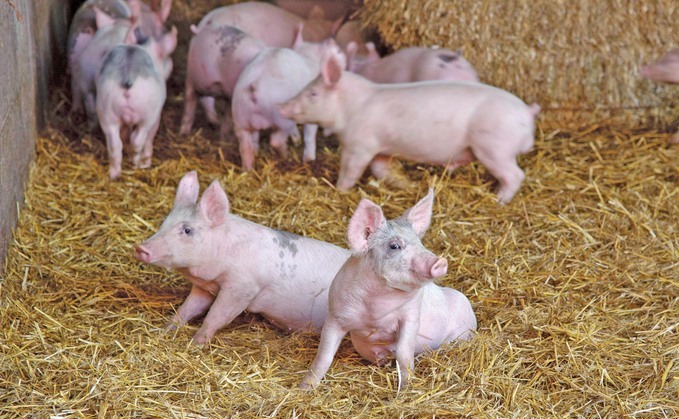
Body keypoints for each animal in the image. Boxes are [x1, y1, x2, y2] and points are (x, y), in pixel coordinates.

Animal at [95, 21, 178, 179]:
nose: (171, 63)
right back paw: (137, 164)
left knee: (115, 144)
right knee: (138, 140)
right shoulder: (156, 114)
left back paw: (115, 174)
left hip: (106, 109)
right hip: (148, 113)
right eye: (167, 59)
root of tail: (128, 77)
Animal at [134, 171, 351, 344]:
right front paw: (164, 330)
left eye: (187, 230)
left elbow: (216, 315)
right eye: (164, 222)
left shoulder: (242, 288)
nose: (141, 248)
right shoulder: (205, 287)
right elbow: (188, 308)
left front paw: (195, 344)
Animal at [231, 34, 338, 169]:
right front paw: (309, 158)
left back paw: (248, 169)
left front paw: (297, 141)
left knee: (246, 146)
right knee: (275, 141)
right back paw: (286, 155)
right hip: (280, 118)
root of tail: (256, 87)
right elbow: (310, 133)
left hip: (240, 116)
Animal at [278, 48, 540, 203]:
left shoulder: (359, 145)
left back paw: (498, 199)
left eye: (312, 93)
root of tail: (527, 113)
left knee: (516, 175)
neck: (351, 108)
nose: (282, 106)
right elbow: (381, 169)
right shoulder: (381, 149)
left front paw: (339, 189)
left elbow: (351, 170)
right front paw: (407, 184)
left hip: (494, 148)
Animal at [300, 189, 477, 390]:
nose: (440, 261)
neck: (375, 312)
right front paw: (303, 389)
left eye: (420, 243)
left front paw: (406, 389)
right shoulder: (335, 315)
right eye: (394, 246)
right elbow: (323, 357)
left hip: (463, 332)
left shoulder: (411, 315)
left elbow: (404, 352)